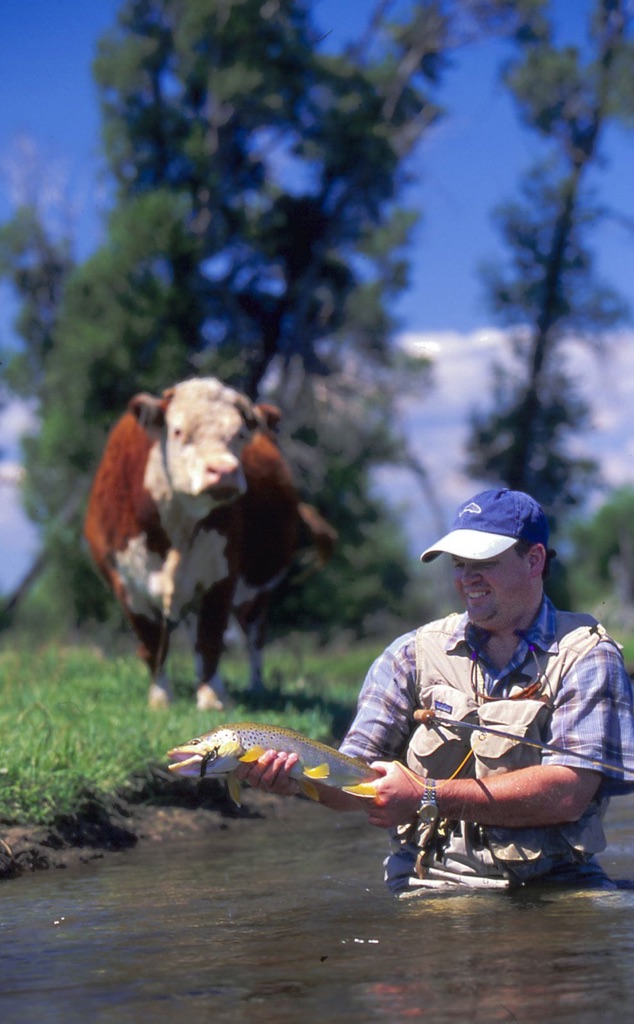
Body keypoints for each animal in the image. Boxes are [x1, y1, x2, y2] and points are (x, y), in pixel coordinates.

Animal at [83, 377, 336, 709]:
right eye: (178, 431)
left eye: (239, 434)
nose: (224, 471)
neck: (177, 524)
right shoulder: (126, 585)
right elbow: (152, 642)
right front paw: (160, 697)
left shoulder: (221, 576)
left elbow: (211, 637)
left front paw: (212, 697)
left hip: (259, 591)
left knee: (254, 636)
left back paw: (256, 687)